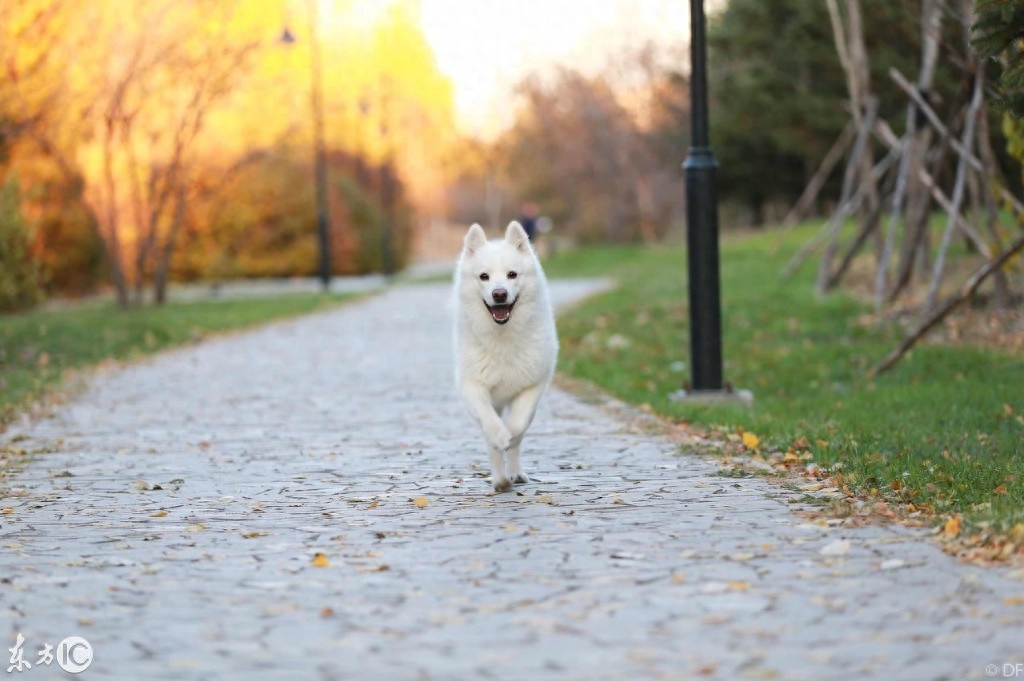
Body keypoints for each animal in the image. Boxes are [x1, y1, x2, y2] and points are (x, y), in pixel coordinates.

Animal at [454, 220, 557, 491]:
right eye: (484, 276)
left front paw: (509, 436)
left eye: (512, 274)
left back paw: (514, 473)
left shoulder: (533, 385)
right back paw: (500, 480)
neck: (502, 338)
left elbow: (518, 426)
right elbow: (490, 423)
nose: (499, 294)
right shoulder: (473, 387)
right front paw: (500, 436)